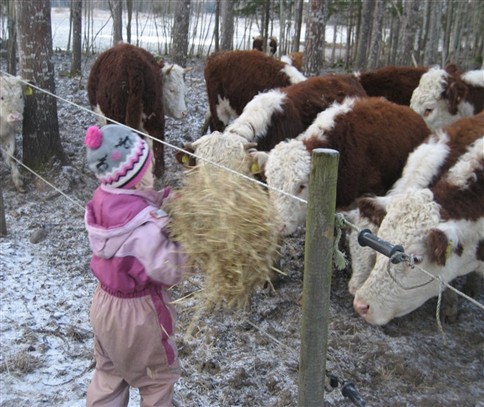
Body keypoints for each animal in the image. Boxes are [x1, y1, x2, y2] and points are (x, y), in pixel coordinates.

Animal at [88, 42, 190, 177]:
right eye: (171, 89)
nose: (184, 113)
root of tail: (133, 63)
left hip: (118, 116)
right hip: (155, 114)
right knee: (157, 141)